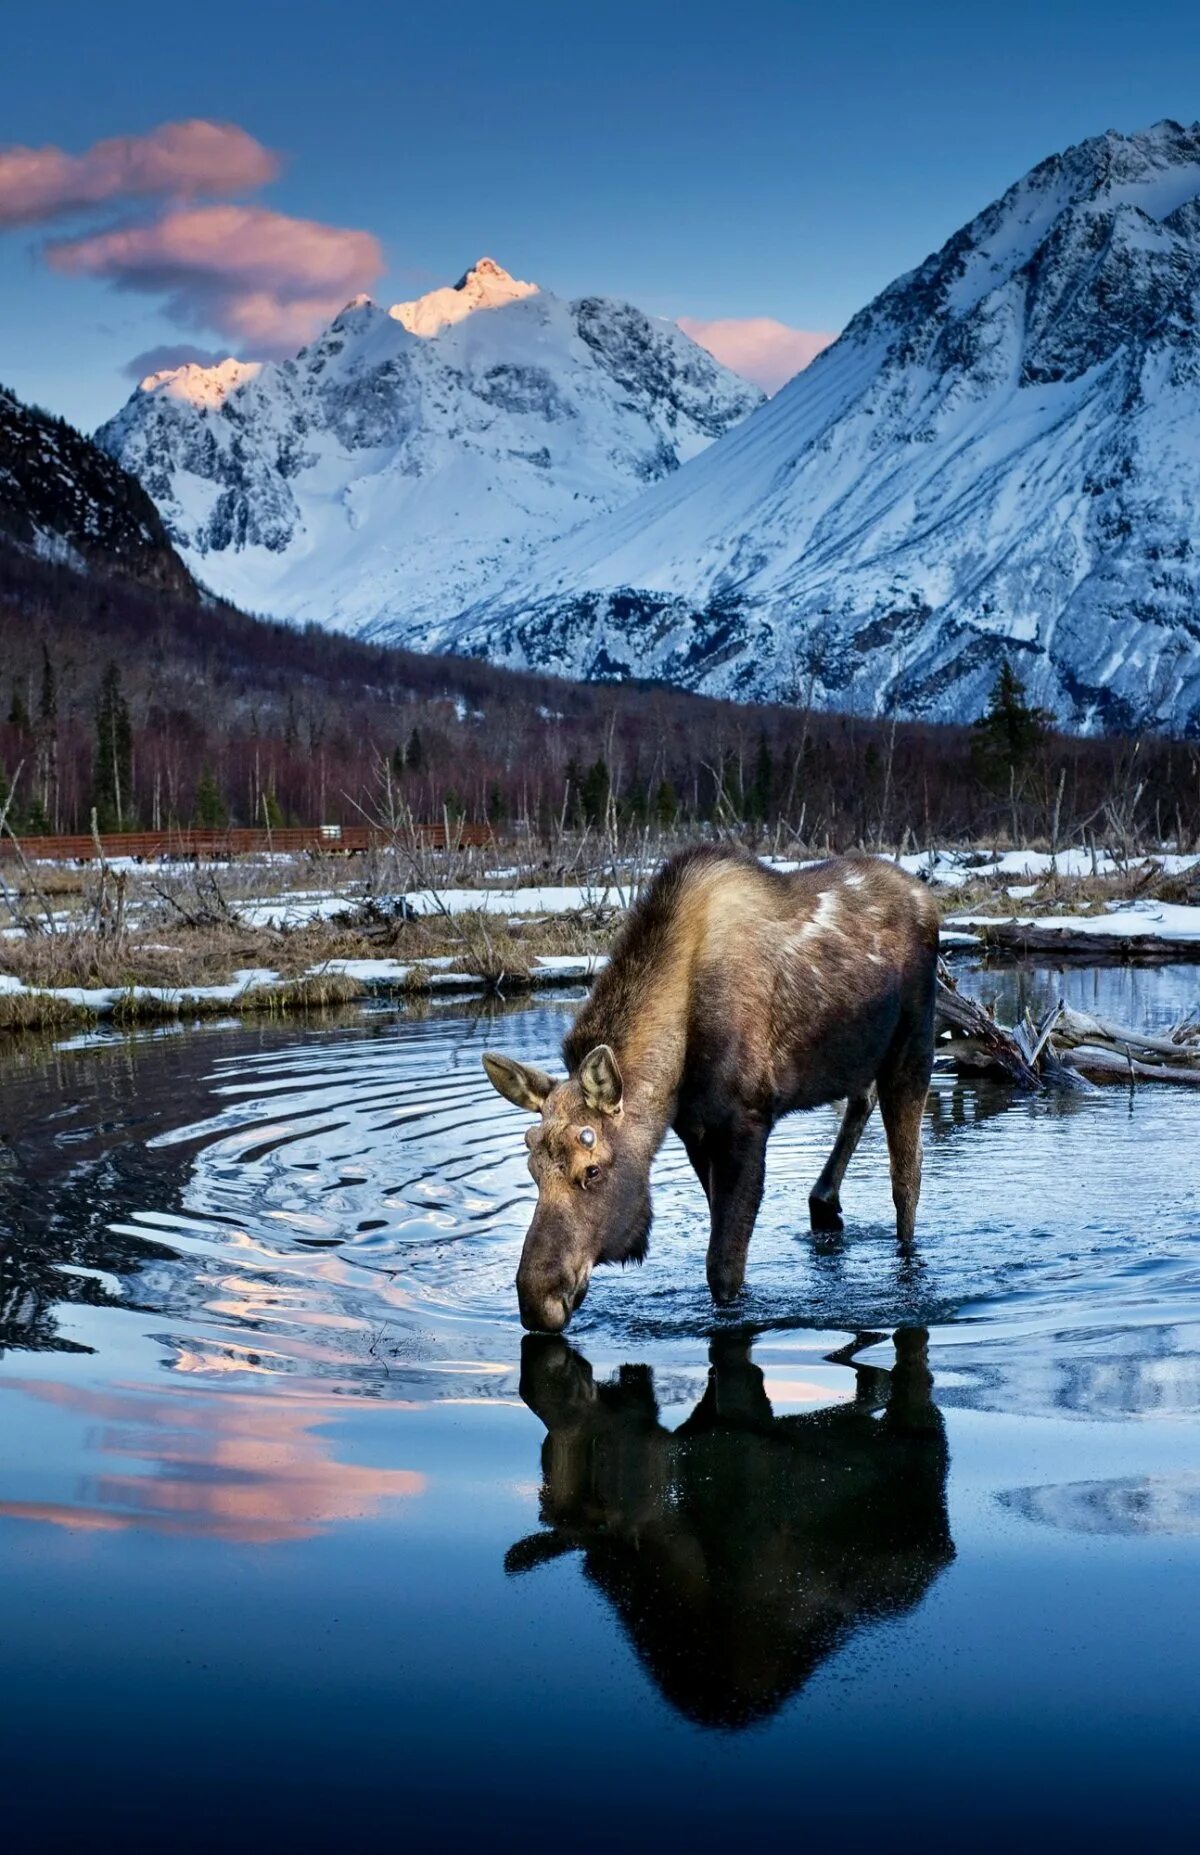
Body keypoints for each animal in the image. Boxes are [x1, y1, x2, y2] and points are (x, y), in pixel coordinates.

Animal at [482, 842, 942, 1335]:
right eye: (532, 1169)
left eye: (592, 1170)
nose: (537, 1301)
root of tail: (927, 898)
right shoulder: (695, 1131)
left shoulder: (746, 1122)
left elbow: (723, 1269)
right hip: (860, 1057)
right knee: (862, 1099)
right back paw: (824, 1204)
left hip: (913, 1047)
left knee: (907, 1178)